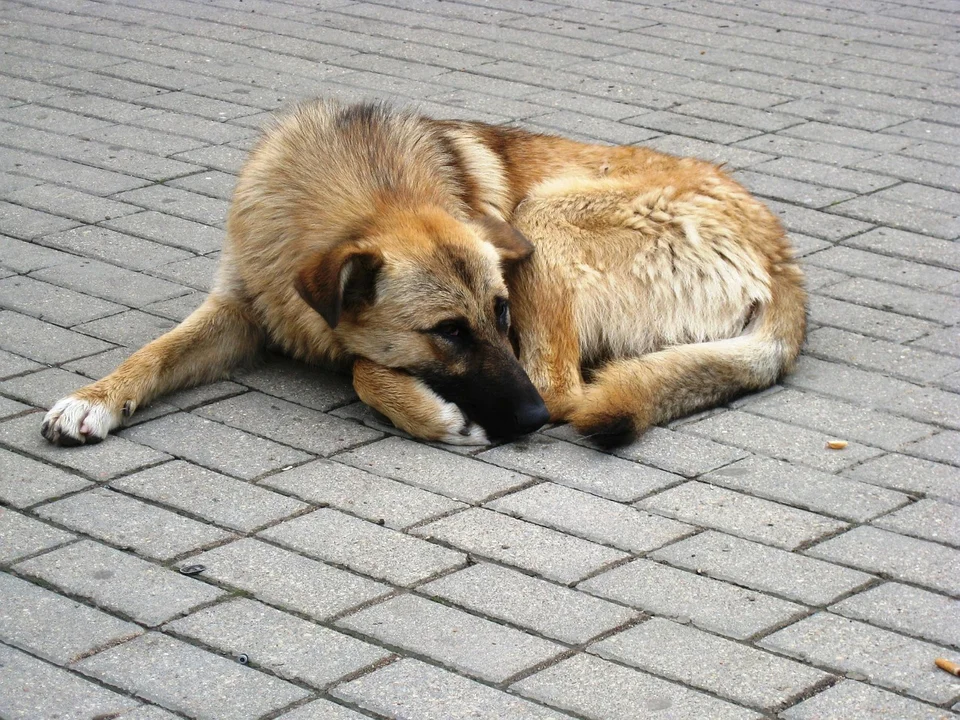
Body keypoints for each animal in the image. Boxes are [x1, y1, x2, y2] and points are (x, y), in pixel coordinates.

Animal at [41, 100, 808, 450]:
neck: (362, 186)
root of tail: (783, 266)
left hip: (542, 218)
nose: (526, 422)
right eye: (447, 332)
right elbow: (154, 352)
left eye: (500, 313)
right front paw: (93, 398)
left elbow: (360, 366)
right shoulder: (237, 306)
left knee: (563, 387)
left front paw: (432, 413)